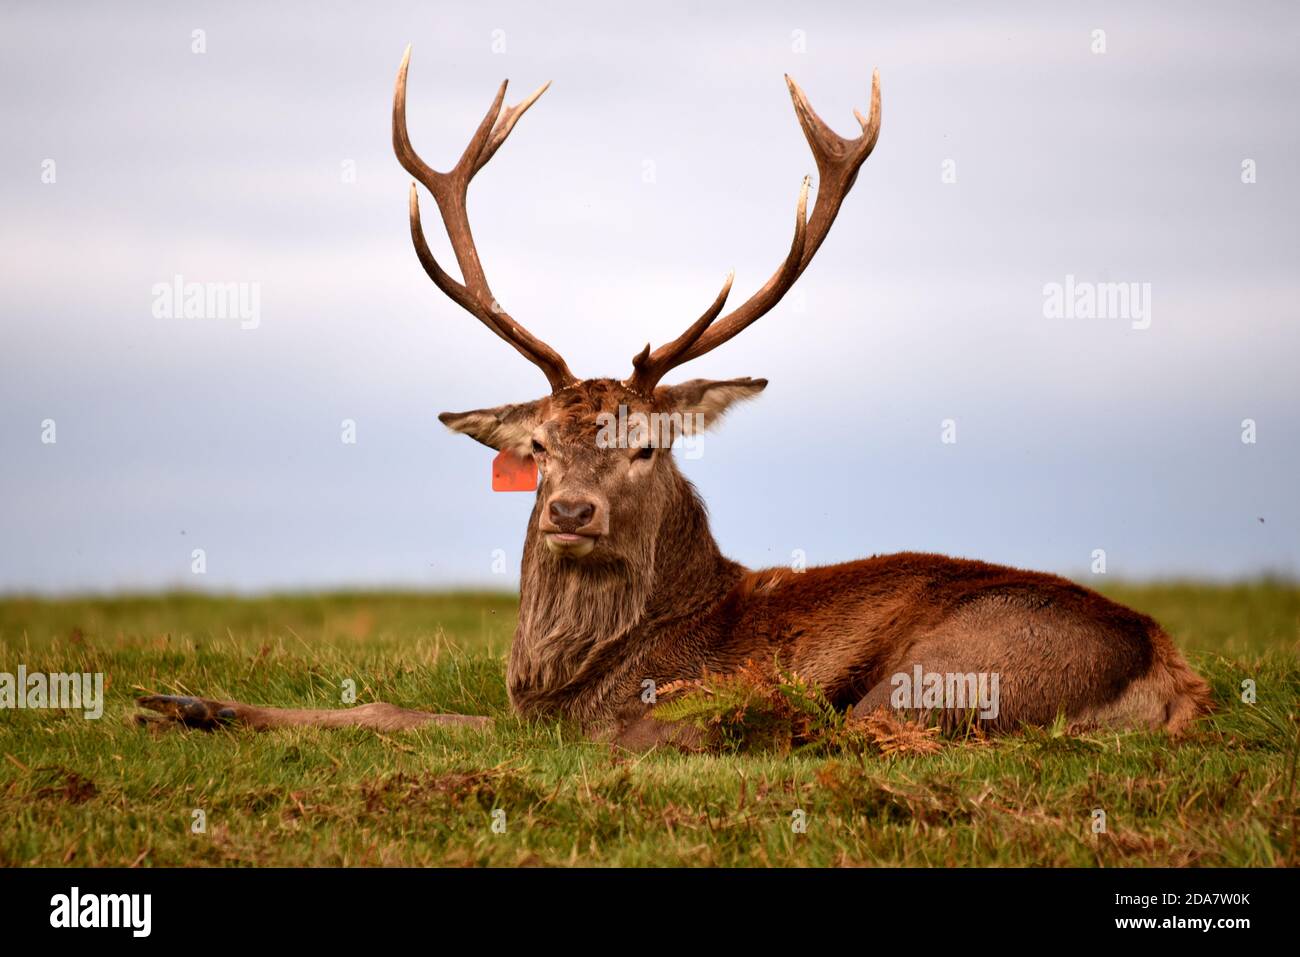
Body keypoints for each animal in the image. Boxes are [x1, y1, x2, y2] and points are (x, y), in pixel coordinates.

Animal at [136, 46, 1213, 749]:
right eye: (540, 447)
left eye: (645, 445)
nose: (572, 510)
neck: (569, 681)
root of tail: (1170, 664)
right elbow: (386, 708)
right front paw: (182, 702)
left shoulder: (592, 724)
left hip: (952, 665)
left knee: (861, 733)